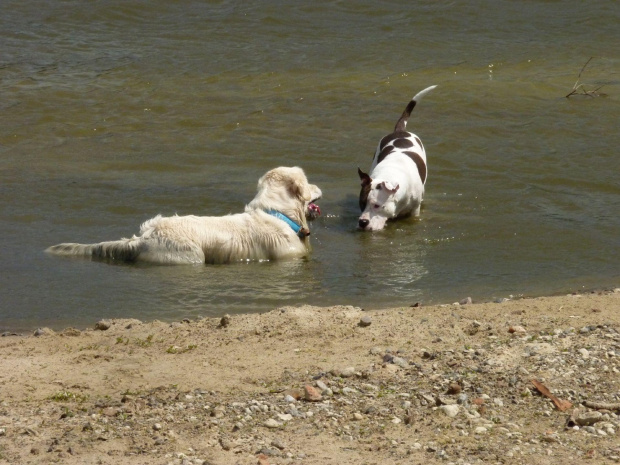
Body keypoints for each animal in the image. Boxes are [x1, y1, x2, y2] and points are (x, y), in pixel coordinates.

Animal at [356, 85, 438, 230]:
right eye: (362, 203)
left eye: (377, 205)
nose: (362, 222)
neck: (389, 175)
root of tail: (400, 131)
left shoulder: (414, 211)